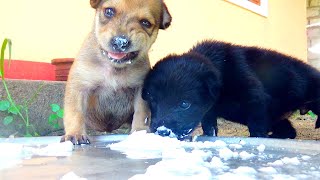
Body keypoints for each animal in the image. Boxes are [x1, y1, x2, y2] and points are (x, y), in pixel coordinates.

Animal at [61, 0, 171, 144]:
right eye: (109, 11)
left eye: (145, 23)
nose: (120, 42)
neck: (114, 68)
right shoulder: (79, 87)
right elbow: (75, 112)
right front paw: (75, 133)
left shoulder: (140, 90)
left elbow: (142, 113)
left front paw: (139, 132)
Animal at [142, 40, 320, 139]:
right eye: (153, 101)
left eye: (184, 104)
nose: (162, 132)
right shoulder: (210, 109)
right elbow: (209, 124)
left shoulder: (255, 98)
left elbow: (256, 125)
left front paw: (258, 137)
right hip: (277, 119)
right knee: (290, 131)